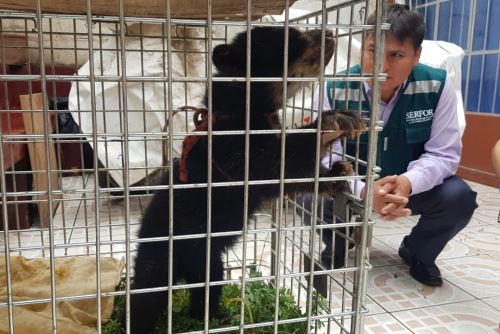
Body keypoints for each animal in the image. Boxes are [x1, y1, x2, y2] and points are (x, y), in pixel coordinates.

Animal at [128, 25, 364, 332]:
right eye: (291, 39)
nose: (330, 33)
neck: (247, 108)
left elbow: (287, 178)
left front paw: (338, 173)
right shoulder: (232, 146)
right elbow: (270, 164)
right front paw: (333, 121)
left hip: (206, 261)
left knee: (207, 288)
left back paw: (213, 316)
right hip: (159, 256)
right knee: (146, 297)